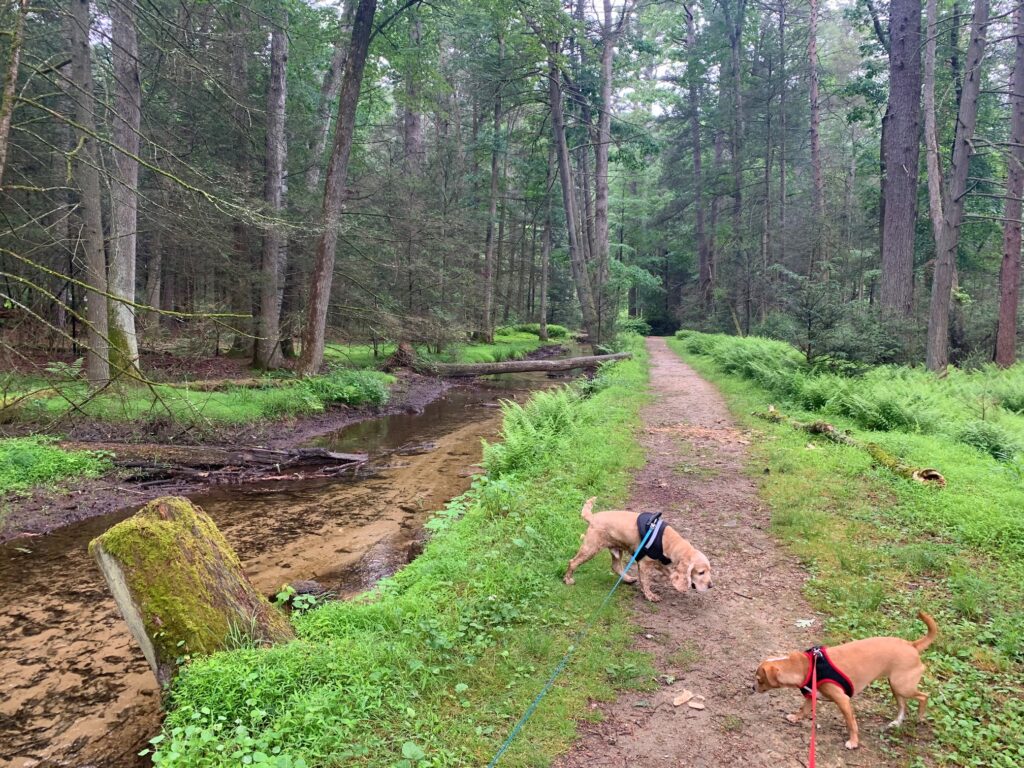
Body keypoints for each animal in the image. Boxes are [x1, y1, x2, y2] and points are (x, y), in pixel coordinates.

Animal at [561, 499, 712, 602]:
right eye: (701, 572)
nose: (711, 585)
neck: (670, 542)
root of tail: (592, 517)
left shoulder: (658, 563)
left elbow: (668, 573)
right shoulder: (645, 564)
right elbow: (646, 581)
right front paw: (650, 595)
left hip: (616, 550)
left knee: (615, 566)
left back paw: (628, 579)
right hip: (590, 548)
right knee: (573, 562)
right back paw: (568, 580)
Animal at [753, 614, 937, 753]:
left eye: (759, 679)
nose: (752, 687)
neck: (807, 666)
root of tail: (911, 645)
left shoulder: (843, 700)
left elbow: (851, 723)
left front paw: (854, 742)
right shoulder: (812, 694)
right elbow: (803, 709)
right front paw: (796, 717)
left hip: (902, 686)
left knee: (924, 696)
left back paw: (920, 718)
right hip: (896, 687)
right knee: (902, 706)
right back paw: (897, 722)